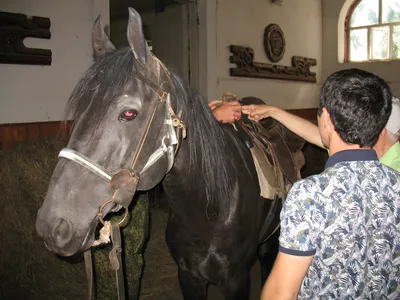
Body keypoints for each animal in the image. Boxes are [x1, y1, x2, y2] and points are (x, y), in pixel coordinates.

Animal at [36, 7, 302, 300]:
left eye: (129, 114)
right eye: (79, 111)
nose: (53, 226)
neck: (208, 211)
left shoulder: (237, 281)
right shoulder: (188, 277)